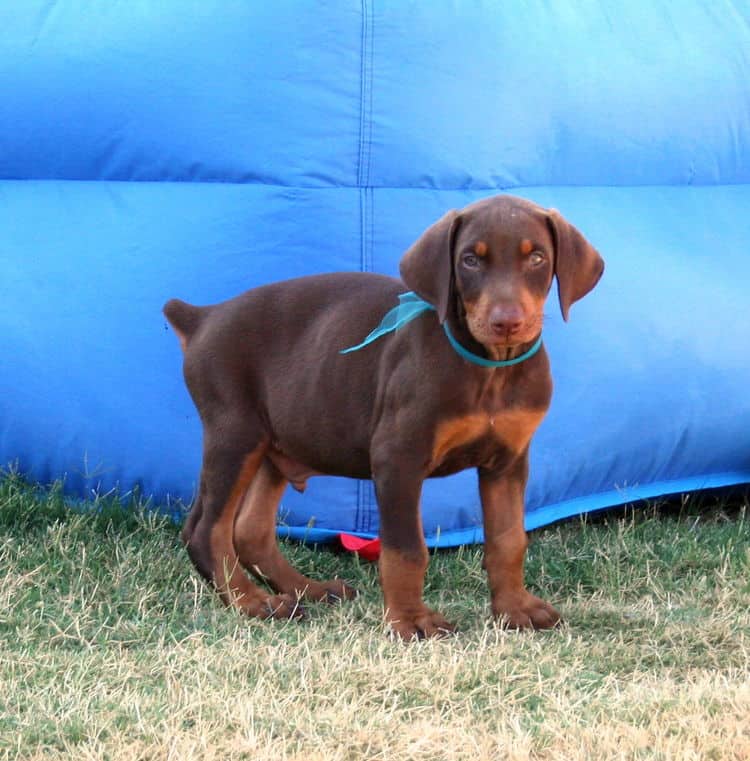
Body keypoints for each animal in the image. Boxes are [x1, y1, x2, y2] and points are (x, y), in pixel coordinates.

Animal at [163, 193, 604, 640]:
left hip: (278, 441)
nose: (507, 322)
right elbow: (406, 548)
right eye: (469, 260)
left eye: (536, 257)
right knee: (207, 530)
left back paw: (306, 589)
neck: (491, 368)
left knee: (250, 530)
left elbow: (509, 539)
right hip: (235, 433)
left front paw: (515, 608)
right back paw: (253, 602)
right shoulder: (399, 457)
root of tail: (203, 317)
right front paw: (410, 619)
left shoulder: (508, 462)